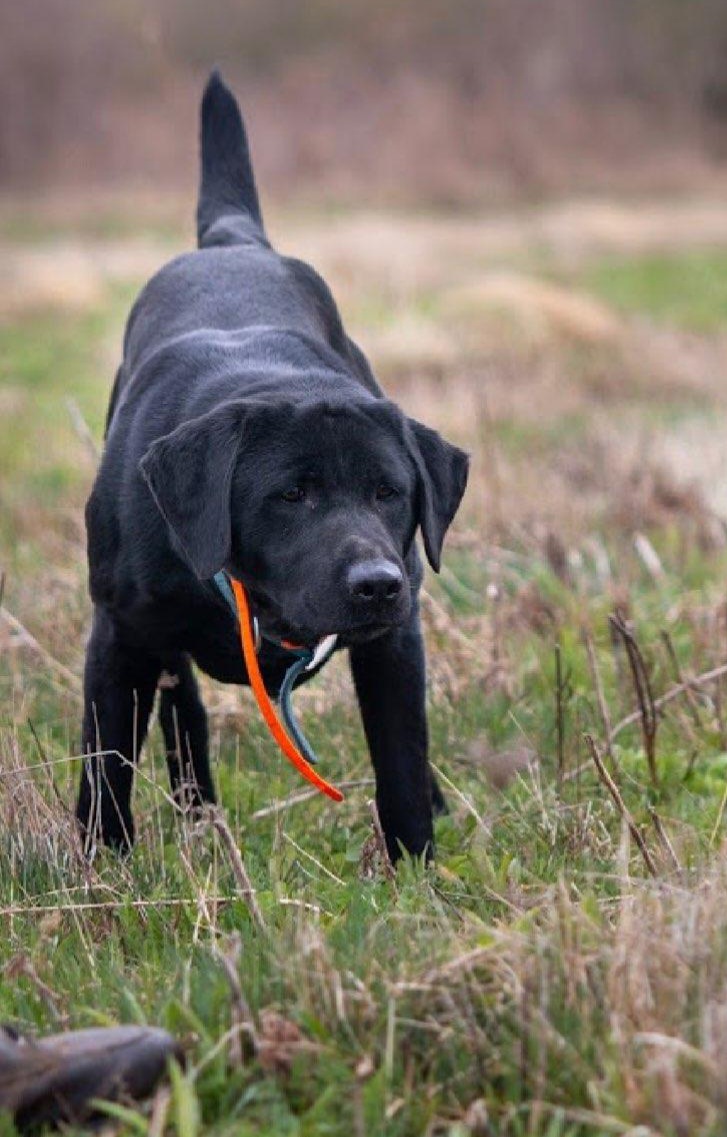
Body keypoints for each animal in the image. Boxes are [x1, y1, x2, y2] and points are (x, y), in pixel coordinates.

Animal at [76, 73, 468, 859]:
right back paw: (199, 815)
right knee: (184, 717)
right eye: (290, 495)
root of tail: (233, 239)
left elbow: (401, 758)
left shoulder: (393, 643)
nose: (375, 583)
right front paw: (101, 868)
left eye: (390, 493)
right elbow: (106, 769)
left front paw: (415, 864)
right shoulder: (119, 637)